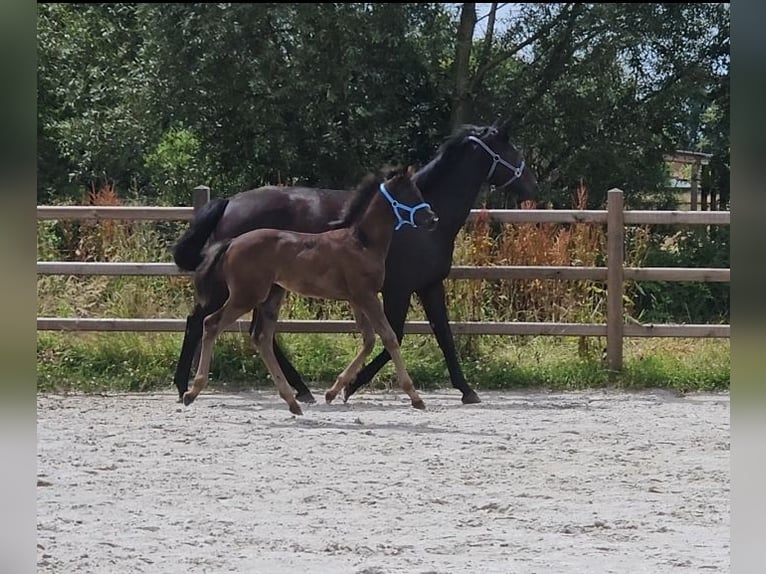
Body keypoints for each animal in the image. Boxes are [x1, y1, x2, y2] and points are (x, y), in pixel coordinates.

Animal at [181, 169, 440, 416]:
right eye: (409, 193)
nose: (432, 218)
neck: (361, 243)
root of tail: (232, 242)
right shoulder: (367, 296)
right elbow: (389, 337)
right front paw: (415, 397)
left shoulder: (356, 299)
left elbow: (368, 340)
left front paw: (333, 392)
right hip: (245, 296)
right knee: (211, 323)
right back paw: (191, 392)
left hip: (271, 296)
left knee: (261, 337)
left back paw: (292, 401)